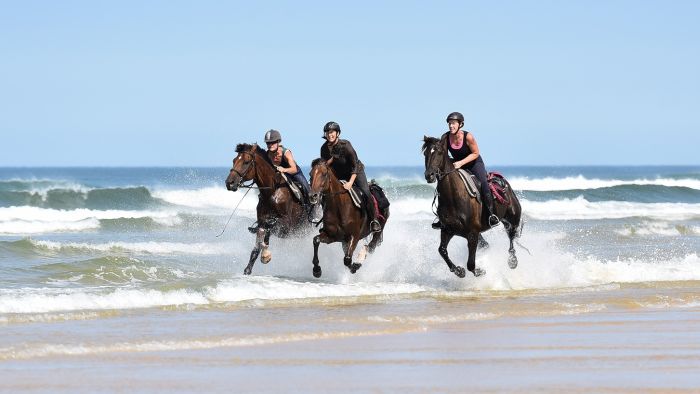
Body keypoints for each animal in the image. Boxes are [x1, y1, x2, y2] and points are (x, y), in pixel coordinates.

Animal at [227, 143, 308, 276]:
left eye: (246, 162)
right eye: (234, 160)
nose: (229, 183)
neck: (271, 191)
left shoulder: (287, 227)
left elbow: (270, 226)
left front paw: (265, 255)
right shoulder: (262, 220)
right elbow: (259, 240)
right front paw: (248, 269)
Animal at [422, 137, 520, 278]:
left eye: (439, 152)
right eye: (425, 153)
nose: (429, 175)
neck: (453, 198)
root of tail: (504, 182)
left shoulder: (472, 234)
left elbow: (470, 264)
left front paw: (479, 271)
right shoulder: (447, 230)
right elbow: (442, 250)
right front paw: (458, 271)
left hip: (512, 219)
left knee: (511, 237)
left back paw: (512, 261)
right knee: (487, 243)